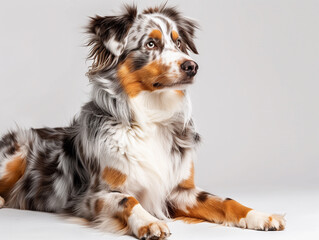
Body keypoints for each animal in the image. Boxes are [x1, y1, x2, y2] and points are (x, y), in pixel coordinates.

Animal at [0, 4, 284, 240]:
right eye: (150, 44)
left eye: (178, 43)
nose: (192, 66)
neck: (151, 119)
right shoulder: (94, 195)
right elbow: (128, 200)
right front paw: (149, 222)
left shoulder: (181, 189)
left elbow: (226, 201)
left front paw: (260, 216)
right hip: (16, 154)